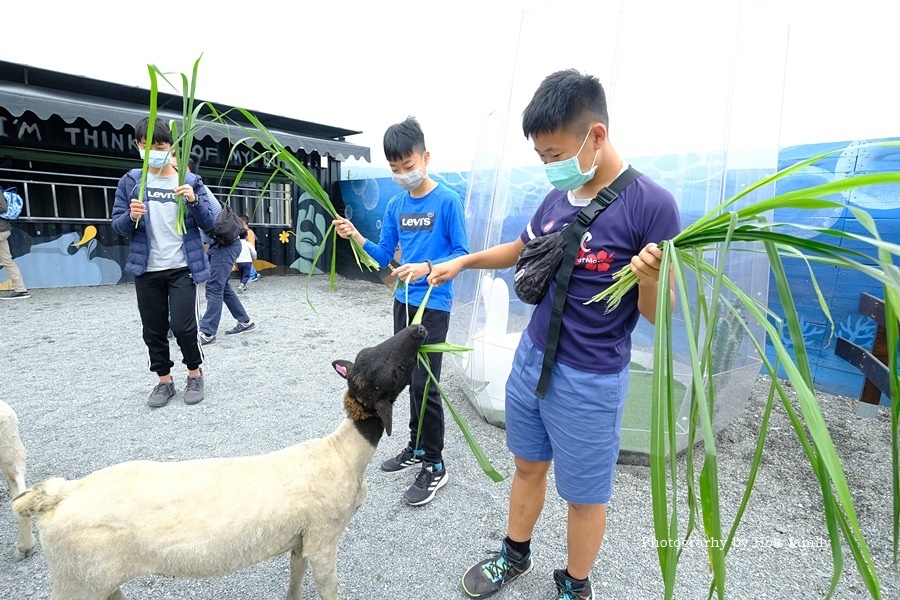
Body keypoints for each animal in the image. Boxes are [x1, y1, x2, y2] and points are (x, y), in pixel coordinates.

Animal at [13, 324, 428, 600]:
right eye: (393, 373)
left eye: (366, 352)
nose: (419, 328)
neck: (342, 452)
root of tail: (58, 495)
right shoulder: (324, 536)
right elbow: (329, 587)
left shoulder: (300, 538)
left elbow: (295, 577)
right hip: (76, 580)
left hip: (96, 580)